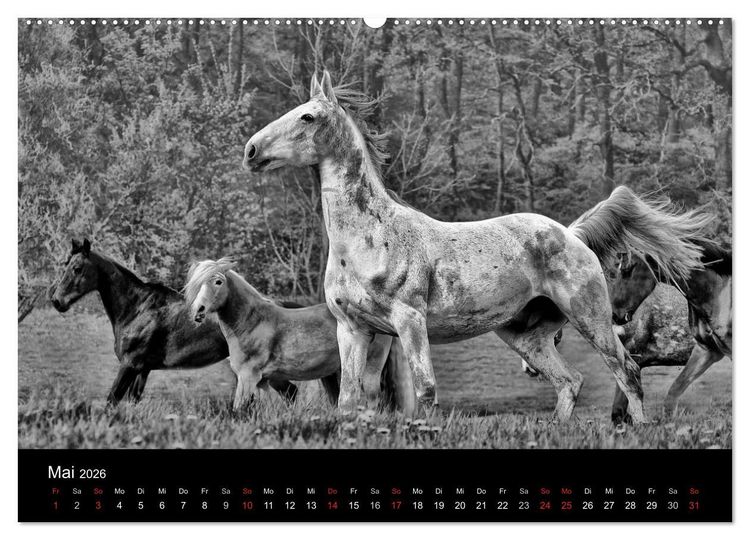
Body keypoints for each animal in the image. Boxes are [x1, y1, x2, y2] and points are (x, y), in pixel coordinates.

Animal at [48, 239, 300, 404]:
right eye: (66, 265)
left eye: (77, 268)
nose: (57, 301)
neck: (138, 309)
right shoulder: (142, 370)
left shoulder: (130, 364)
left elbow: (112, 400)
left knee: (291, 393)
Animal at [183, 258, 415, 412]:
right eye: (197, 284)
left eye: (218, 281)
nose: (199, 311)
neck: (253, 323)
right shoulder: (264, 381)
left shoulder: (248, 377)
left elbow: (239, 409)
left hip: (370, 368)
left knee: (372, 398)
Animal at [243, 70, 713, 423]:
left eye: (307, 117)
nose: (250, 150)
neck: (367, 240)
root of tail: (572, 234)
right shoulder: (353, 329)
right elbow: (349, 399)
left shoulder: (410, 321)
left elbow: (426, 390)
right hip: (526, 336)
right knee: (570, 381)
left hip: (591, 317)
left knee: (626, 371)